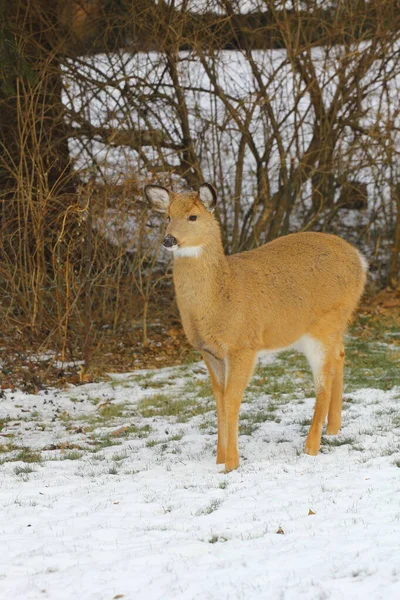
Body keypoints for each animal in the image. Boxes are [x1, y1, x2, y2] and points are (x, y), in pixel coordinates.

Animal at [145, 180, 368, 472]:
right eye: (168, 216)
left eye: (193, 216)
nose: (169, 239)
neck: (221, 296)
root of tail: (361, 260)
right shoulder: (208, 351)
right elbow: (218, 398)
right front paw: (219, 458)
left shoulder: (243, 345)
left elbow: (232, 399)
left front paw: (231, 464)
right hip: (330, 325)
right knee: (340, 356)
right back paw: (333, 428)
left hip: (323, 325)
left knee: (323, 379)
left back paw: (311, 446)